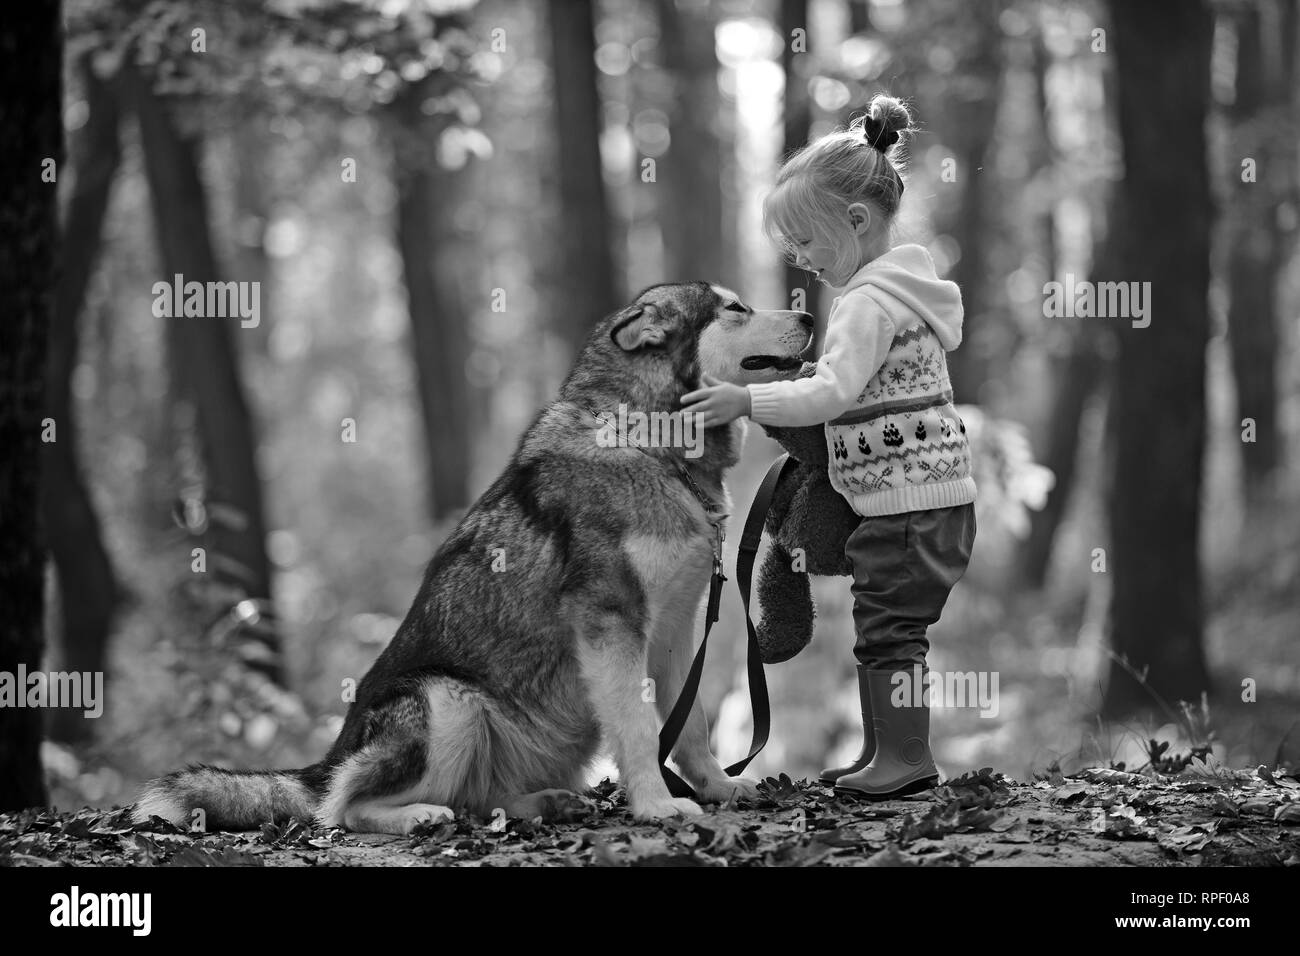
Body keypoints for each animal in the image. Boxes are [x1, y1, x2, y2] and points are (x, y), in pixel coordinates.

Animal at [139, 286, 811, 837]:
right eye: (736, 308)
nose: (807, 314)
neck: (651, 444)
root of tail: (328, 756)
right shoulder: (612, 622)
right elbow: (643, 728)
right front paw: (657, 805)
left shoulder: (673, 629)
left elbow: (690, 725)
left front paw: (719, 787)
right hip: (448, 703)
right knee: (343, 807)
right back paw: (417, 816)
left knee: (476, 799)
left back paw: (544, 803)